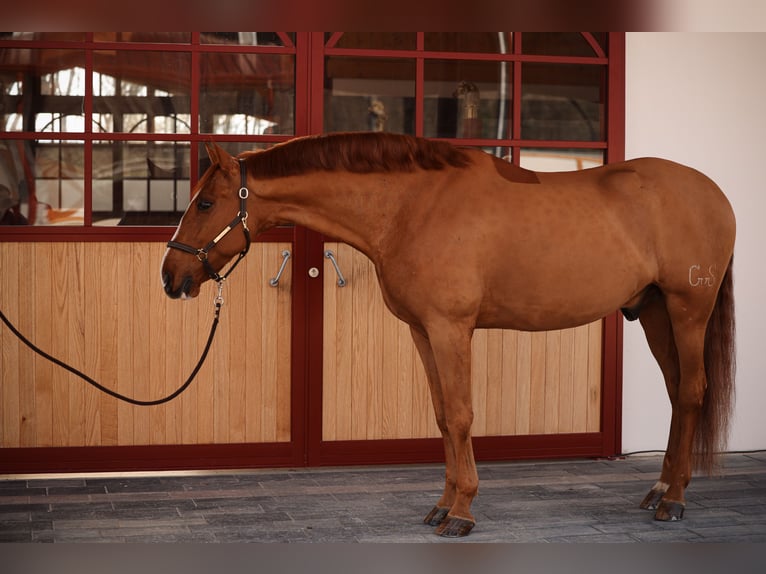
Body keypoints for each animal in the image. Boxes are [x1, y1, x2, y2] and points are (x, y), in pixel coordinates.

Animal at [164, 133, 736, 536]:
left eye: (206, 204)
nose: (171, 277)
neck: (413, 207)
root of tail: (714, 193)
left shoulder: (450, 329)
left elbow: (461, 415)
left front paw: (462, 511)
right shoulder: (423, 331)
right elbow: (442, 416)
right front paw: (441, 506)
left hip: (687, 311)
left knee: (691, 392)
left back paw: (675, 500)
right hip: (655, 312)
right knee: (676, 394)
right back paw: (659, 488)